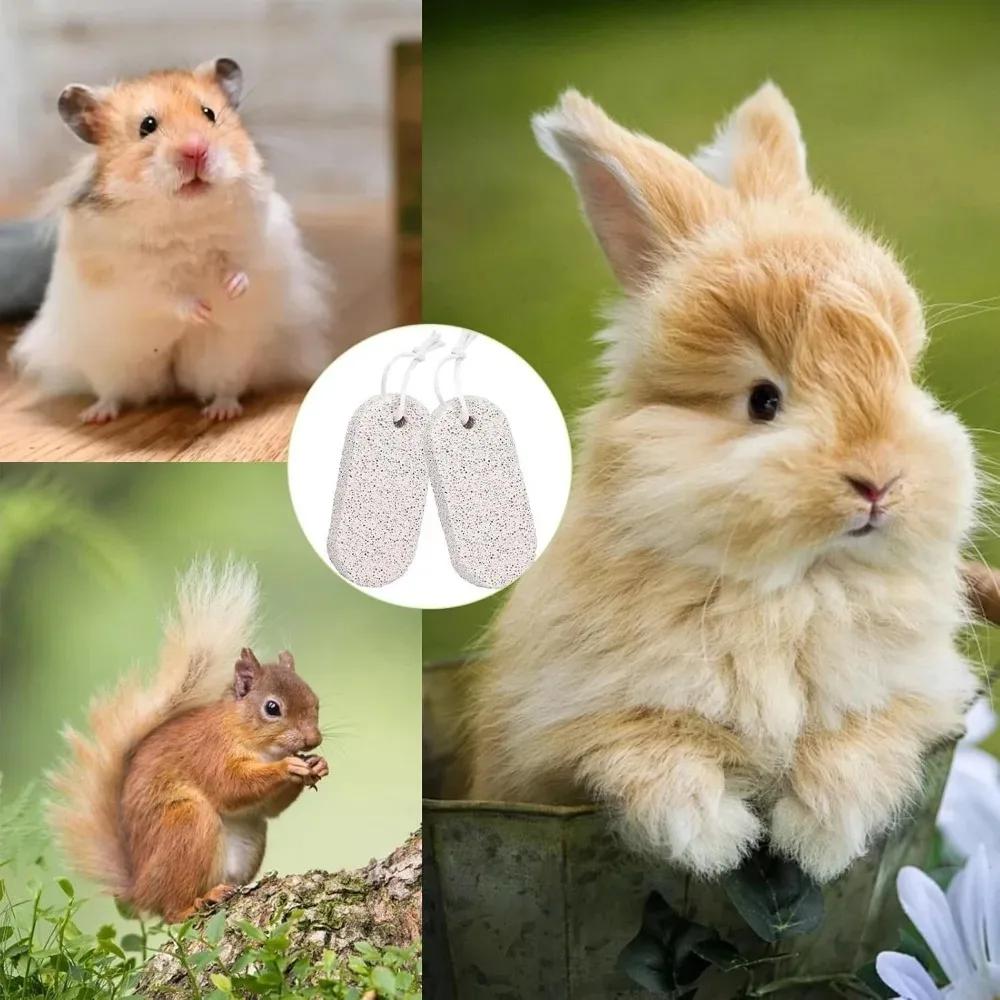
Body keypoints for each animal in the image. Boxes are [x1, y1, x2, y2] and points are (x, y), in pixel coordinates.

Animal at [10, 58, 332, 422]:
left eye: (209, 113)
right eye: (147, 126)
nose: (196, 150)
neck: (184, 215)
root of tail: (173, 382)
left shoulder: (262, 240)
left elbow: (243, 266)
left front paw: (230, 290)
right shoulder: (127, 273)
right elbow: (165, 293)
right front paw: (201, 310)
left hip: (230, 356)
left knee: (227, 386)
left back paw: (221, 412)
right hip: (111, 363)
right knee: (112, 392)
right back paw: (96, 415)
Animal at [465, 83, 980, 883]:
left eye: (905, 375)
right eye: (763, 401)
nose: (880, 483)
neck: (792, 591)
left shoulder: (916, 695)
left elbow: (860, 741)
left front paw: (820, 839)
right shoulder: (557, 731)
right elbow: (647, 749)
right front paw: (713, 839)